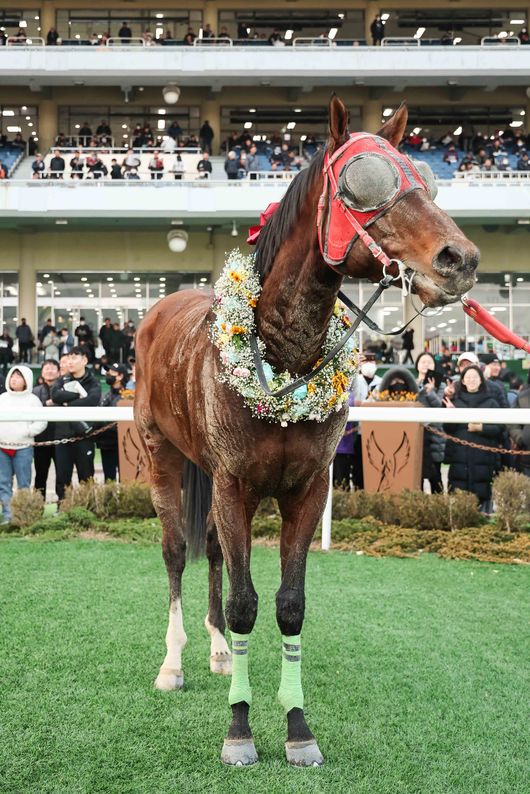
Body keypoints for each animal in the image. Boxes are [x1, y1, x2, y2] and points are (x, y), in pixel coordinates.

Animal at [133, 96, 478, 764]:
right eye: (365, 182)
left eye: (426, 181)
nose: (461, 259)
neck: (283, 355)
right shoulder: (235, 484)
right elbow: (245, 603)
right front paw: (239, 730)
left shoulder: (307, 486)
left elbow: (289, 607)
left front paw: (297, 728)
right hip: (162, 453)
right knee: (176, 550)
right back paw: (174, 662)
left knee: (212, 550)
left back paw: (217, 652)